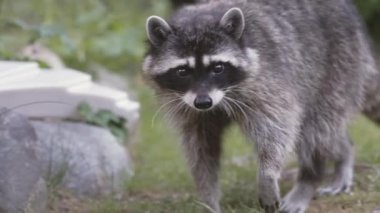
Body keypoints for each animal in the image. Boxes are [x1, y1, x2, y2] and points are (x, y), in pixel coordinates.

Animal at [143, 0, 380, 212]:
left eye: (218, 68)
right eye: (182, 71)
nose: (203, 102)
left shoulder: (267, 81)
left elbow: (279, 127)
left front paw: (267, 176)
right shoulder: (187, 108)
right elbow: (200, 150)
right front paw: (207, 198)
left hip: (336, 67)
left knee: (316, 127)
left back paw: (309, 178)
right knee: (329, 129)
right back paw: (344, 152)